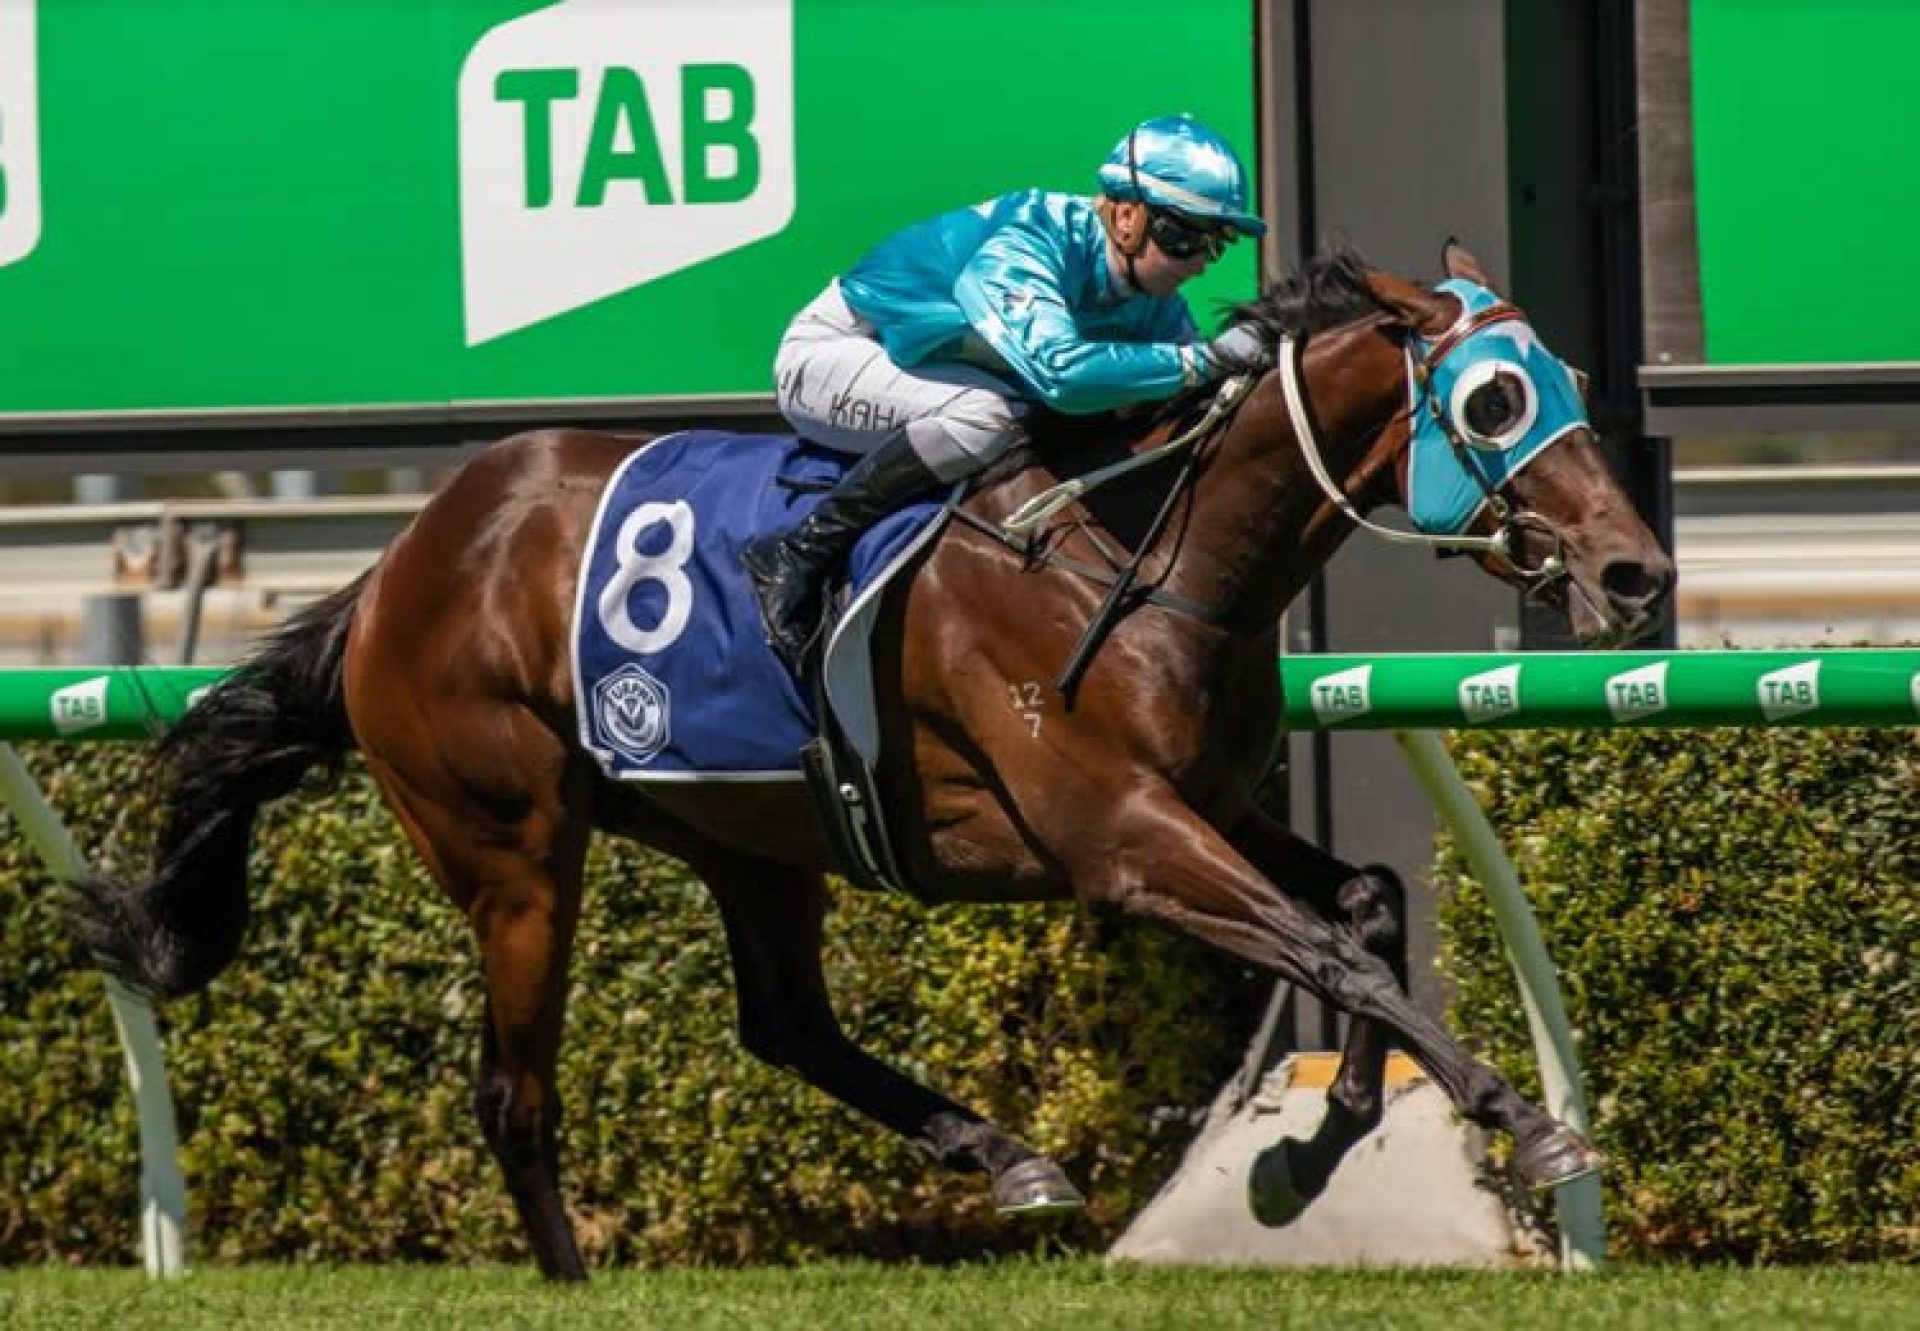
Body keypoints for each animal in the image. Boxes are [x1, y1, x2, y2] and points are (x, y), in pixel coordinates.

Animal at [71, 243, 1666, 1275]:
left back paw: (1013, 1157)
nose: (1637, 573)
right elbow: (1330, 950)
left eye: (1572, 374)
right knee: (515, 1090)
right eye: (1495, 400)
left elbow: (1368, 911)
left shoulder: (1202, 804)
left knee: (787, 1023)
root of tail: (404, 560)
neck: (1134, 546)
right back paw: (574, 1273)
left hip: (755, 837)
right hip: (513, 848)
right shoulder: (1117, 836)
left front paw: (1308, 1150)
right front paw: (1527, 1127)